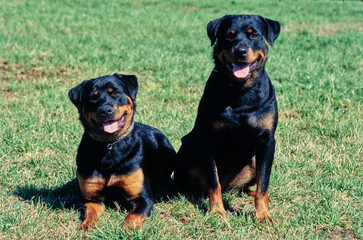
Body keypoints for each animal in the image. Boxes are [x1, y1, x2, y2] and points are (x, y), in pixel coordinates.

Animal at [69, 73, 176, 231]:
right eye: (93, 97)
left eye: (115, 93)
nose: (105, 110)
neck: (109, 146)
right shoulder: (91, 198)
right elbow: (90, 212)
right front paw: (87, 225)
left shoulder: (142, 198)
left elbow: (133, 216)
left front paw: (125, 229)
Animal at [176, 14, 282, 222]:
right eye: (229, 35)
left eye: (253, 35)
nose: (240, 51)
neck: (240, 92)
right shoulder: (207, 138)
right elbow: (213, 180)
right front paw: (217, 211)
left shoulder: (266, 140)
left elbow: (263, 183)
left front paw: (263, 215)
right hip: (188, 149)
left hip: (254, 161)